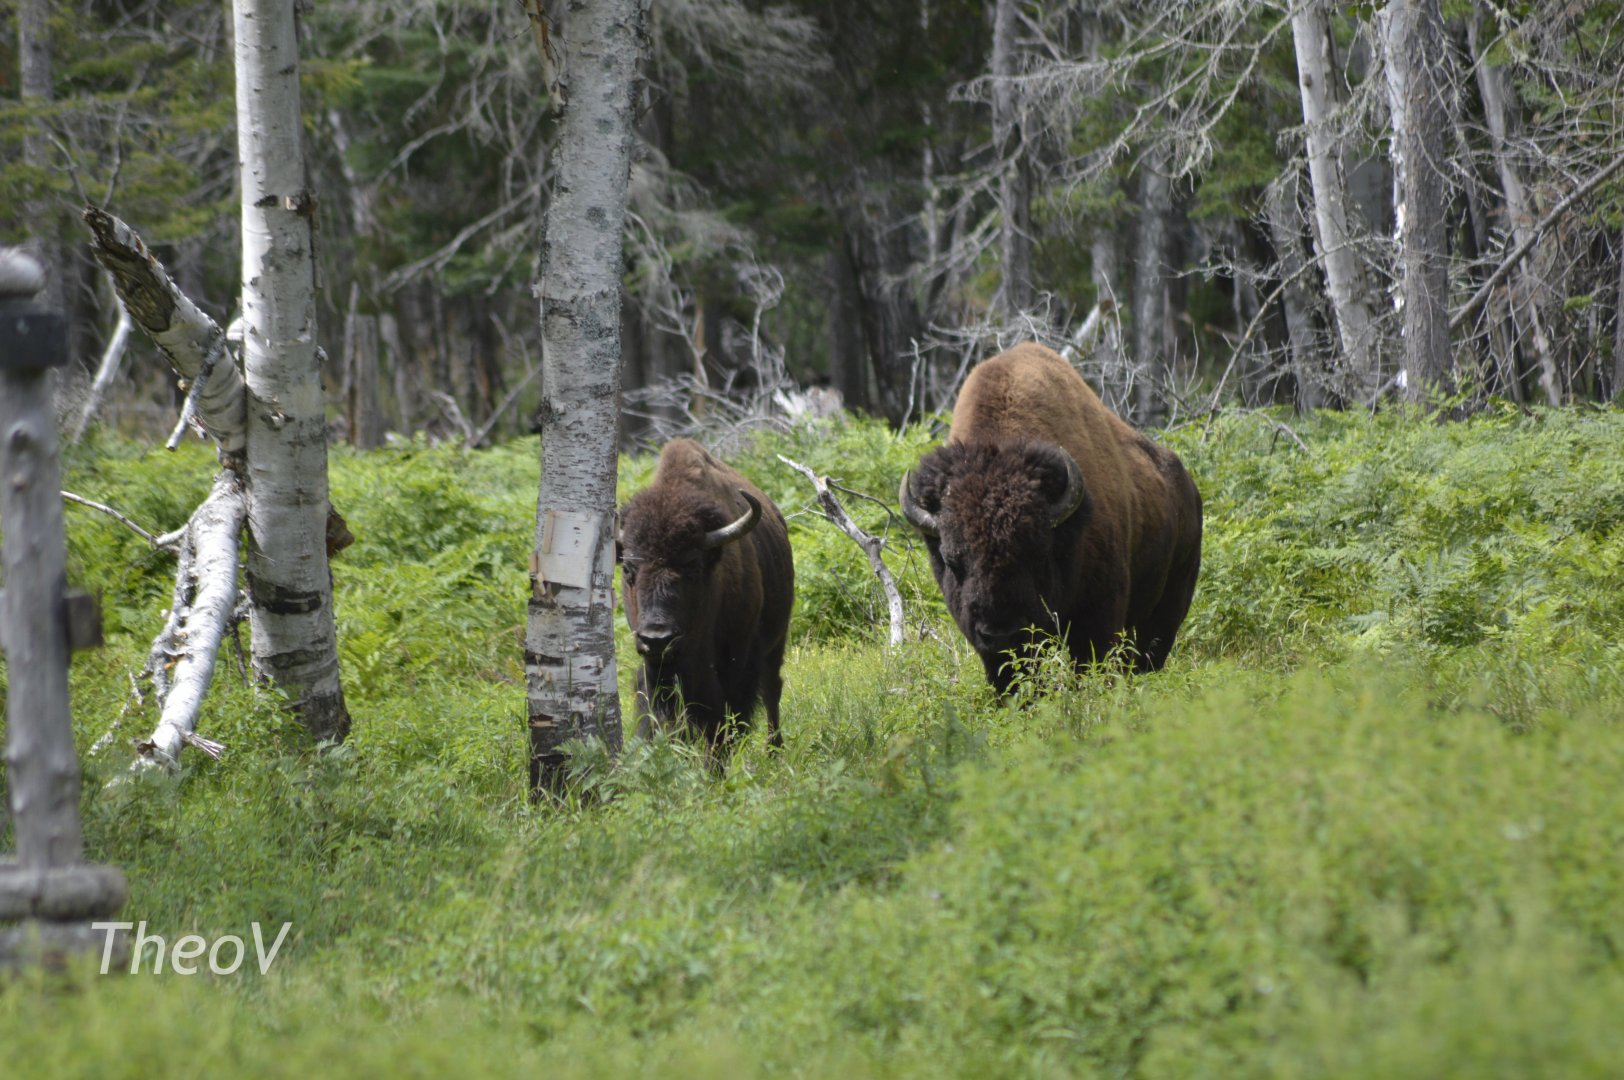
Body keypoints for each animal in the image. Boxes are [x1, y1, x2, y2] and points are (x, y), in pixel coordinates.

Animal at [618, 438, 794, 758]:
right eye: (628, 569)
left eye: (693, 567)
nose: (657, 638)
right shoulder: (658, 669)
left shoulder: (736, 662)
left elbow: (727, 717)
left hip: (777, 640)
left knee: (772, 689)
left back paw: (774, 750)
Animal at [900, 342, 1202, 692]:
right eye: (952, 561)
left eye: (1038, 554)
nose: (1000, 633)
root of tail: (1189, 488)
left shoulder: (1097, 614)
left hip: (1172, 600)